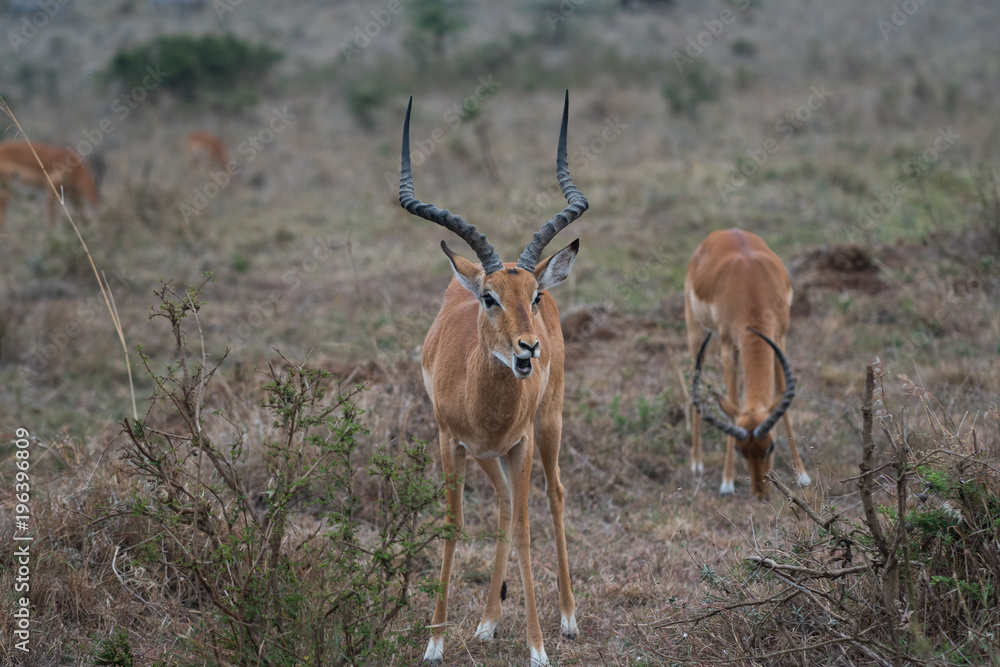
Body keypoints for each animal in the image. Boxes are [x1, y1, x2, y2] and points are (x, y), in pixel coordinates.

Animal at [400, 92, 586, 666]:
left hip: (548, 426)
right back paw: (487, 620)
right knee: (505, 503)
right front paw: (435, 643)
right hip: (487, 456)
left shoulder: (520, 443)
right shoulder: (450, 441)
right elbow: (454, 525)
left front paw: (538, 648)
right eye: (489, 297)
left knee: (553, 493)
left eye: (533, 296)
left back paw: (568, 617)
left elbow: (526, 530)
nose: (529, 348)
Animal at [684, 229, 811, 498]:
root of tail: (724, 232)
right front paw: (726, 481)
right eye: (740, 449)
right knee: (695, 377)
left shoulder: (779, 338)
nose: (761, 494)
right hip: (696, 332)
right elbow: (732, 400)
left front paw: (802, 474)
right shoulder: (728, 345)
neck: (751, 285)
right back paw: (696, 462)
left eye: (771, 446)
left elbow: (782, 392)